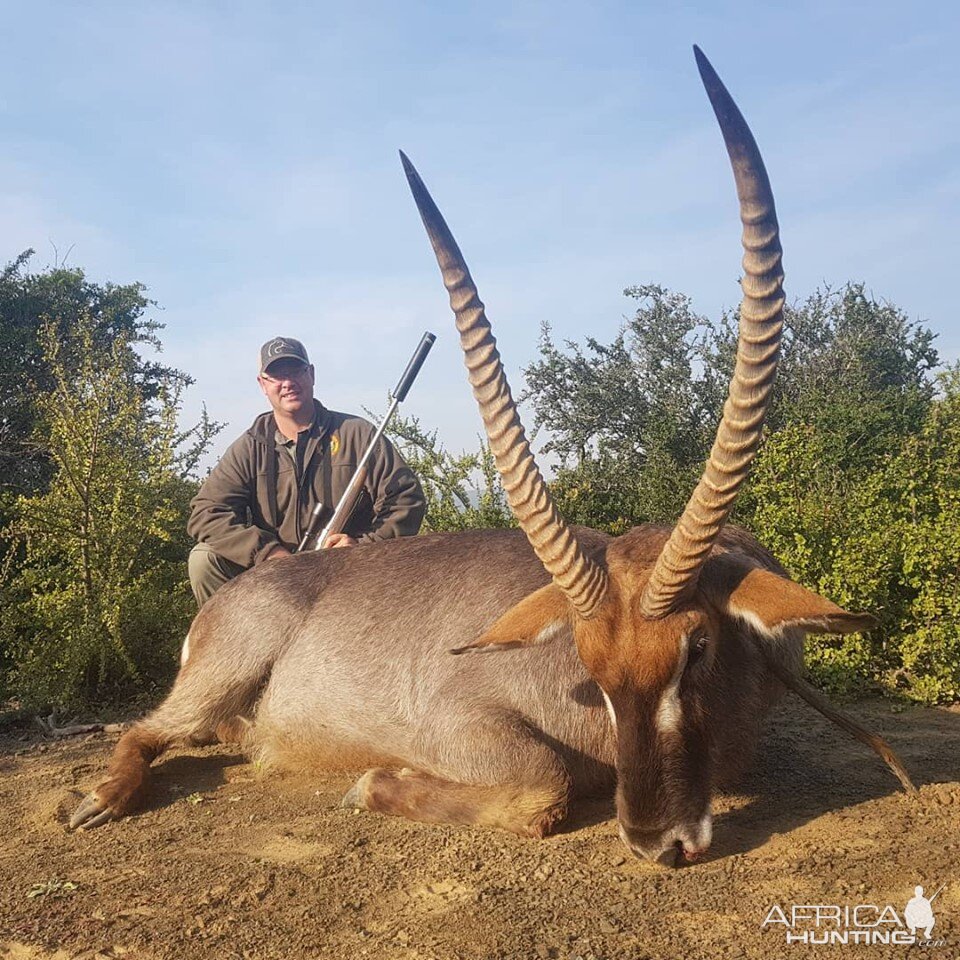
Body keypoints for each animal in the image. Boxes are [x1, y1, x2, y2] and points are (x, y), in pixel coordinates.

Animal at [71, 48, 912, 868]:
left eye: (697, 647)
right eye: (588, 661)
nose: (656, 841)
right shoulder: (460, 719)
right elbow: (543, 787)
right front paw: (373, 783)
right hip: (215, 680)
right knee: (143, 731)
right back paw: (96, 801)